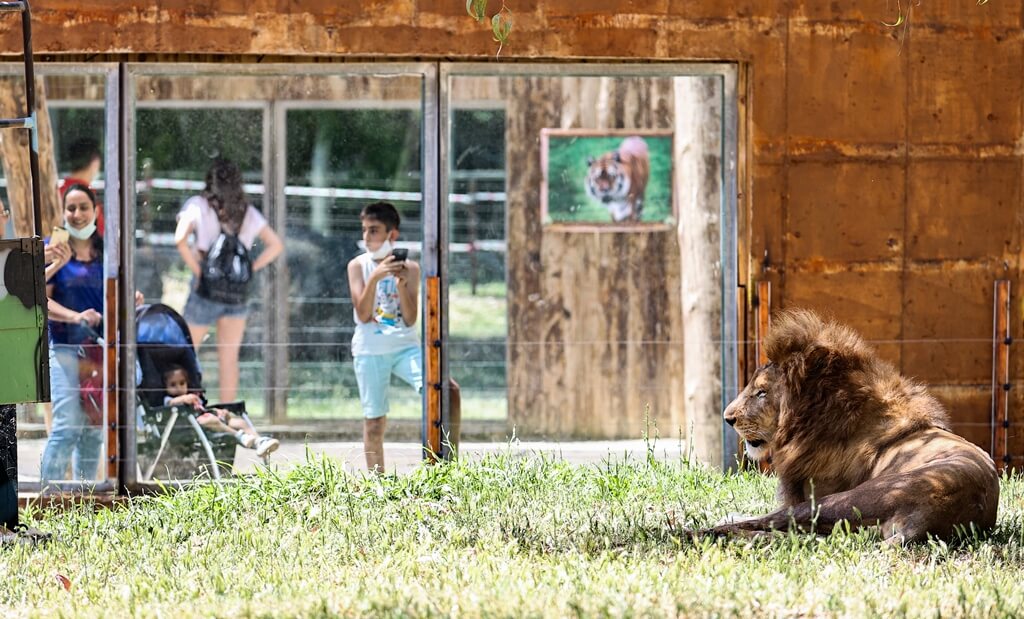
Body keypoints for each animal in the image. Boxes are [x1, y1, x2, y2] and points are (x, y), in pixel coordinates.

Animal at [708, 309, 995, 541]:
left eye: (761, 392)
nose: (728, 418)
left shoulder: (811, 494)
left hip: (840, 501)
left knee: (764, 527)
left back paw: (704, 531)